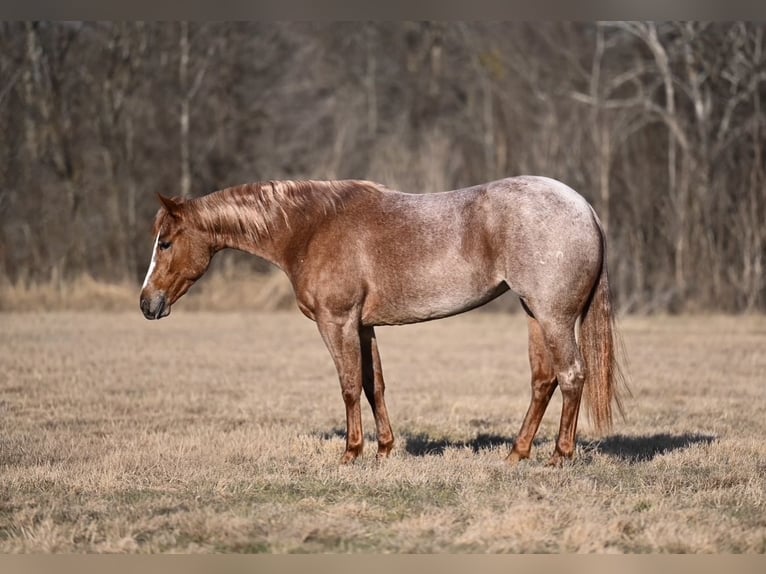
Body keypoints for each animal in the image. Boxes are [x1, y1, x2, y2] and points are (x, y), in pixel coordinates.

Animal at [139, 176, 627, 466]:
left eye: (165, 242)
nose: (147, 304)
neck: (311, 228)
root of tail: (584, 208)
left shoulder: (336, 322)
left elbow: (350, 386)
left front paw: (351, 453)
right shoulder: (363, 325)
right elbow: (375, 385)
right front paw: (385, 450)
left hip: (554, 317)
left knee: (571, 375)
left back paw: (559, 456)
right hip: (534, 315)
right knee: (543, 380)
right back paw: (516, 454)